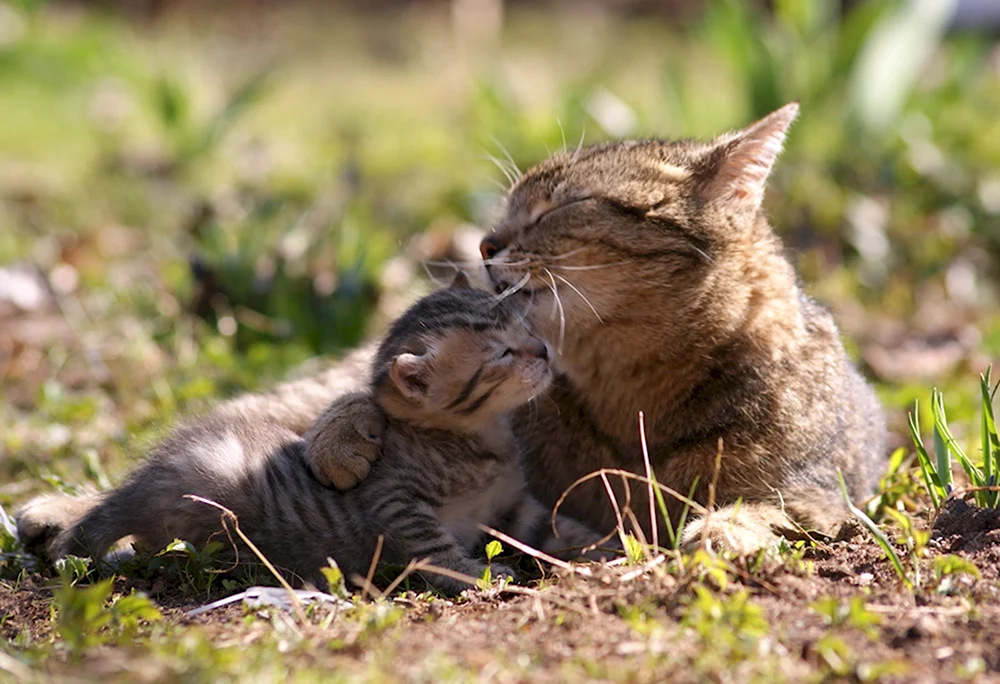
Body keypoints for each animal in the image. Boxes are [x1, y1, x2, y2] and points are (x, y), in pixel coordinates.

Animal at [17, 280, 600, 592]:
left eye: (526, 329)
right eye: (502, 352)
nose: (544, 351)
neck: (481, 442)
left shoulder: (508, 507)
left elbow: (550, 525)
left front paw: (600, 541)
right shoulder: (394, 499)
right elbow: (433, 547)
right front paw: (477, 573)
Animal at [316, 103, 888, 556]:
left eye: (564, 205)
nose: (483, 244)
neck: (631, 387)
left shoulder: (824, 496)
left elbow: (770, 506)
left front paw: (725, 529)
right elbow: (372, 385)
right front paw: (340, 432)